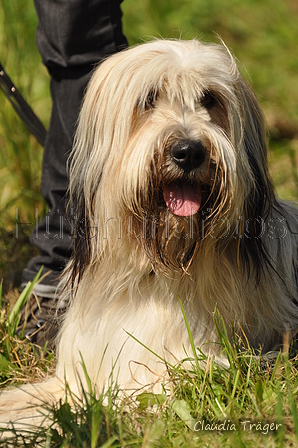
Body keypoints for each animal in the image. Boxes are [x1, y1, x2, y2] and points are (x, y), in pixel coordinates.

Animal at [0, 40, 298, 432]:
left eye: (210, 99)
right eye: (149, 98)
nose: (189, 151)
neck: (156, 269)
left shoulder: (182, 366)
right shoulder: (82, 370)